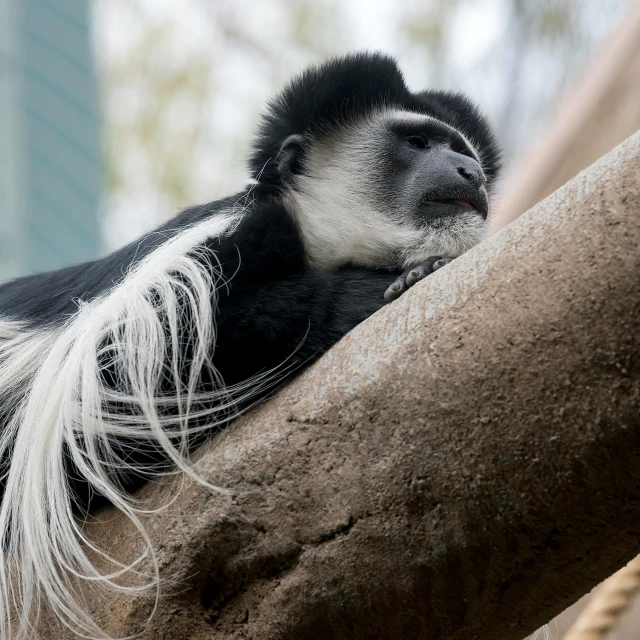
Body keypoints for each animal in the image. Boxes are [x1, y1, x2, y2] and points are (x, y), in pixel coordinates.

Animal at [0, 52, 500, 636]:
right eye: (418, 142)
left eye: (461, 149)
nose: (471, 172)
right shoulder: (208, 256)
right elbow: (126, 384)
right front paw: (379, 286)